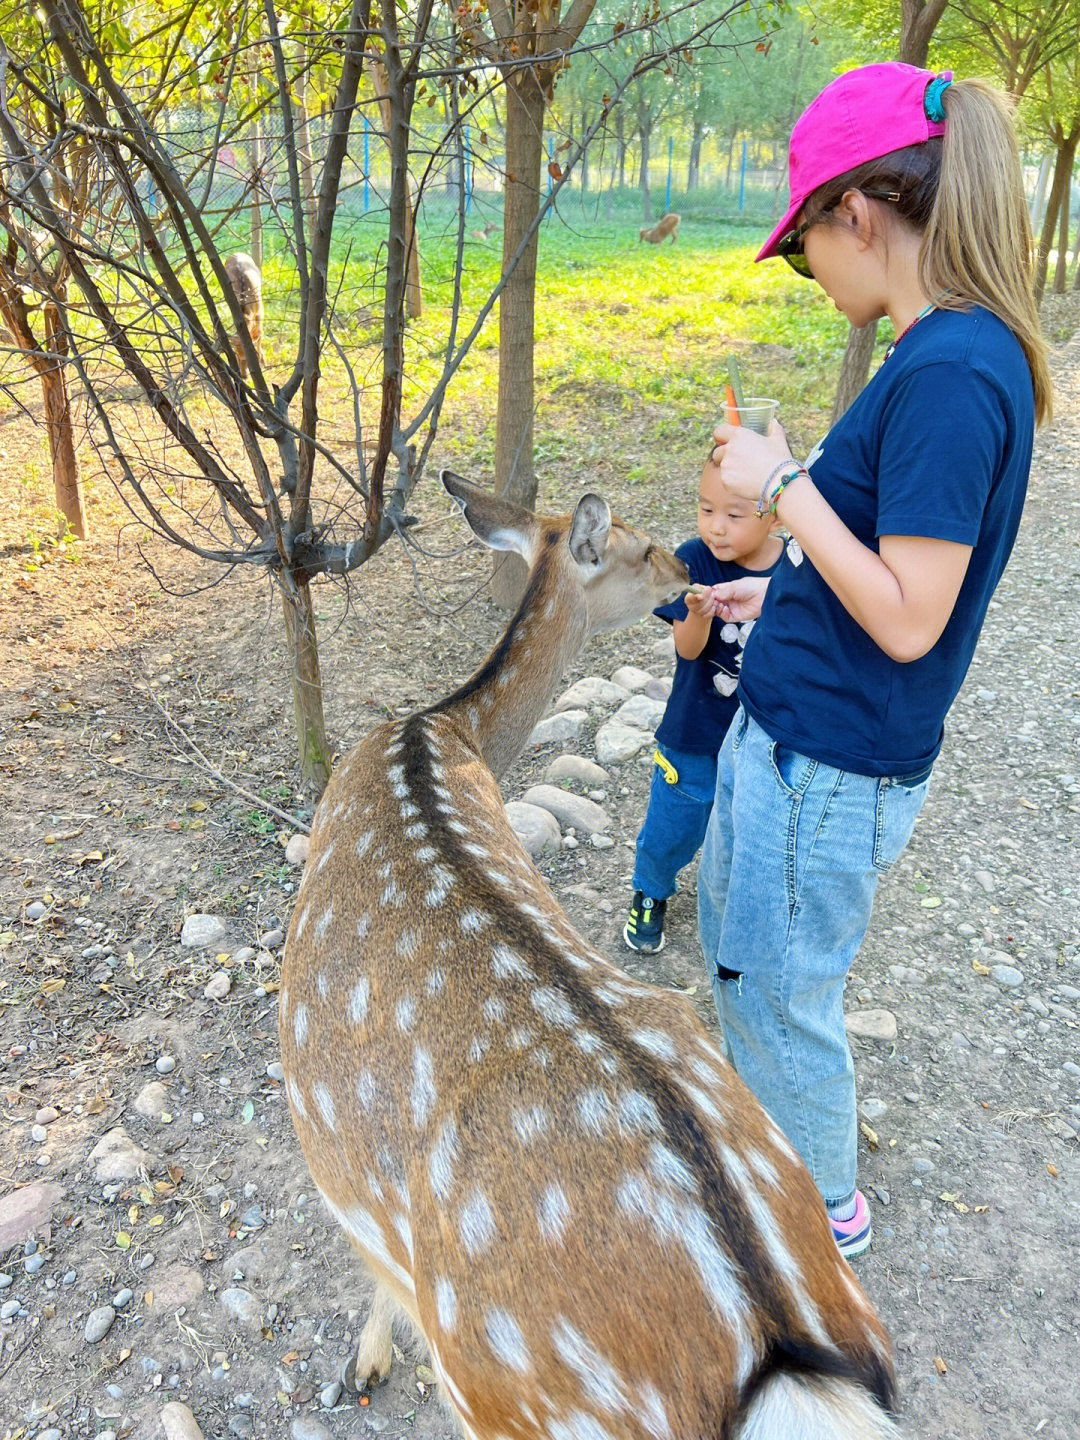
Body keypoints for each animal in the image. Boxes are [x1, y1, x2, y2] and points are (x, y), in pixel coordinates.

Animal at [224, 250, 264, 380]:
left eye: (250, 358)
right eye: (236, 354)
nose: (243, 376)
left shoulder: (260, 310)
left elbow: (260, 335)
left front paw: (263, 361)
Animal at [280, 475, 904, 1440]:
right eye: (640, 549)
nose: (690, 569)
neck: (441, 731)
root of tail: (775, 1351)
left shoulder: (341, 1177)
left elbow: (374, 1269)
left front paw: (368, 1359)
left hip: (497, 1389)